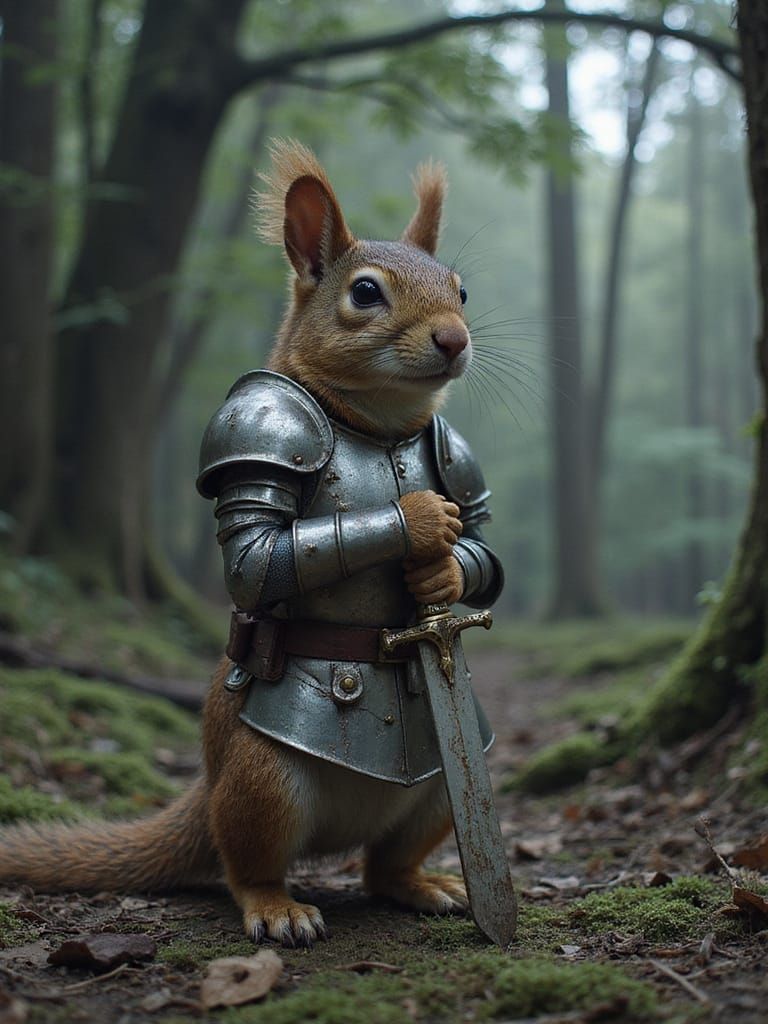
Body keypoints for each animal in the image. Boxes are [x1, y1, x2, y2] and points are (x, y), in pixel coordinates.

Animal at [0, 140, 504, 948]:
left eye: (461, 288)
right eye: (365, 293)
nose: (455, 340)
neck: (379, 427)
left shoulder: (461, 462)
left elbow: (485, 549)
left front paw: (446, 577)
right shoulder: (256, 434)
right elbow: (256, 557)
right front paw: (422, 518)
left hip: (447, 779)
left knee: (382, 866)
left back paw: (426, 884)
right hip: (263, 781)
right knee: (245, 860)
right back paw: (277, 907)